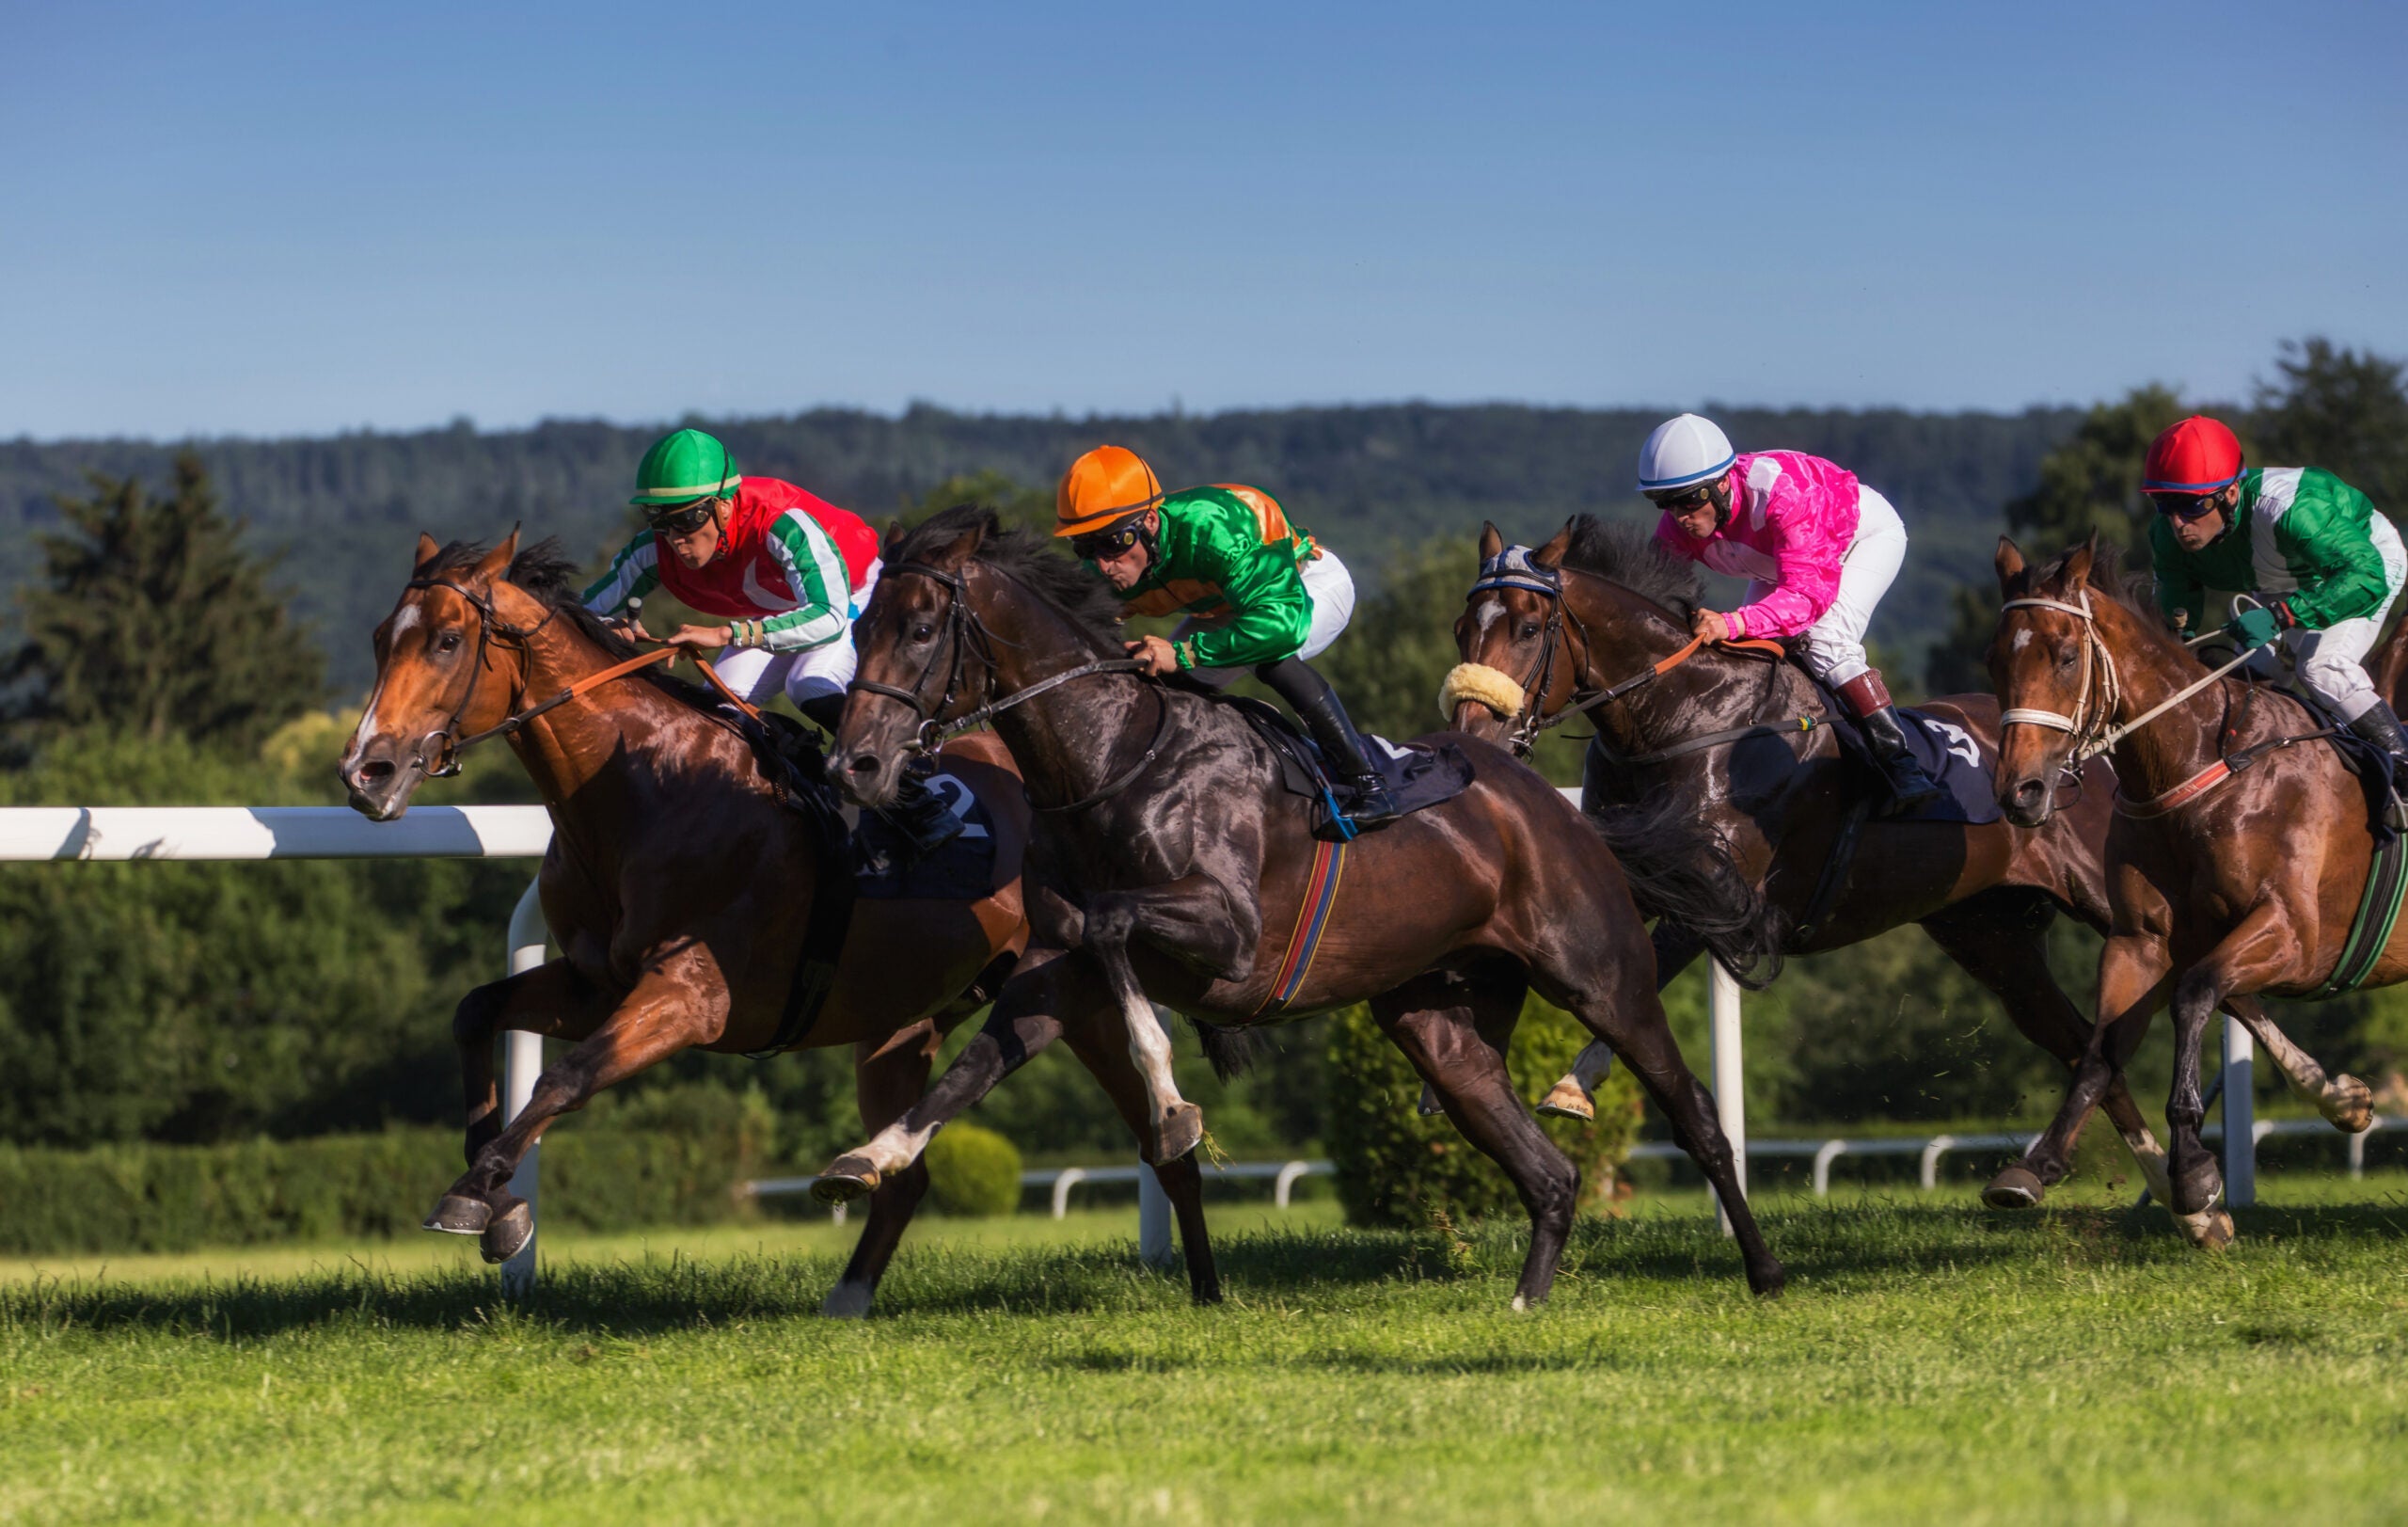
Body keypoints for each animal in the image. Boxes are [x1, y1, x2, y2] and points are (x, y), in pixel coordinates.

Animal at [828, 505, 1791, 1300]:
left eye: (921, 628)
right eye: (861, 627)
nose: (855, 764)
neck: (1113, 760)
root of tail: (1561, 808)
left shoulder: (1229, 937)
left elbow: (1115, 930)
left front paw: (1173, 1107)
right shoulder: (1054, 971)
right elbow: (973, 1066)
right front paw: (872, 1154)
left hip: (1601, 975)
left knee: (1695, 1114)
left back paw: (1764, 1269)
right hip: (1436, 1023)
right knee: (1547, 1170)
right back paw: (1525, 1300)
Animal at [1434, 517, 2359, 1209]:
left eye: (1528, 627)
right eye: (1462, 627)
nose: (1477, 739)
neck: (1689, 719)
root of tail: (2092, 746)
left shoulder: (1727, 898)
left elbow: (1640, 973)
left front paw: (1567, 1086)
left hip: (2105, 897)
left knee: (2216, 986)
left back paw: (2330, 1096)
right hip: (1990, 935)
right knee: (2084, 1037)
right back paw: (2156, 1185)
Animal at [1993, 541, 2388, 1242]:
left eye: (2066, 655)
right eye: (1995, 660)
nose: (2022, 792)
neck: (2201, 764)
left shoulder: (2293, 934)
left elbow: (2197, 993)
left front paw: (2194, 1171)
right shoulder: (2141, 941)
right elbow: (2099, 1050)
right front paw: (2036, 1165)